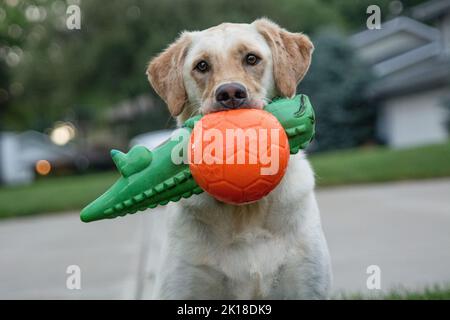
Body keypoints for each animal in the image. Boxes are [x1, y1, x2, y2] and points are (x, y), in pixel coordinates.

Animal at [146, 17, 332, 298]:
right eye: (202, 65)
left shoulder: (308, 281)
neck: (246, 209)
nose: (231, 93)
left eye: (251, 59)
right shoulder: (183, 284)